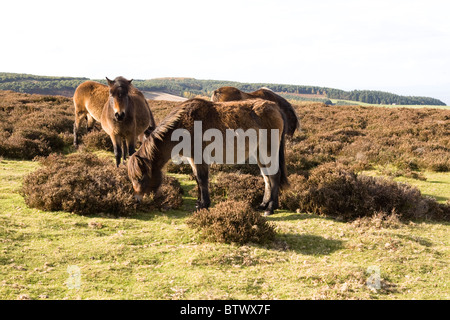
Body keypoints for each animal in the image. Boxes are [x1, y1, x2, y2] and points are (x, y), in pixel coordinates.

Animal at [127, 99, 288, 216]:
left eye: (140, 177)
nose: (136, 200)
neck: (184, 123)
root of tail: (275, 107)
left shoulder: (199, 157)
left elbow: (202, 179)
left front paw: (204, 205)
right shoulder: (192, 159)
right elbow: (198, 179)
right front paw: (199, 203)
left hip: (268, 151)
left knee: (274, 176)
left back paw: (271, 208)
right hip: (259, 153)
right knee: (267, 178)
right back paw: (263, 205)